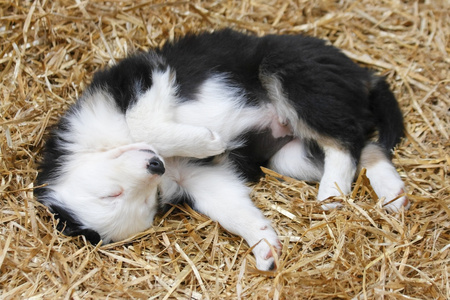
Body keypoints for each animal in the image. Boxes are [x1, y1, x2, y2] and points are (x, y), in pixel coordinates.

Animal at [35, 29, 408, 270]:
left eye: (109, 194)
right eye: (146, 201)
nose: (156, 165)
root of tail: (363, 74)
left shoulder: (144, 75)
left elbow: (141, 122)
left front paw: (208, 140)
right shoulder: (197, 176)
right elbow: (233, 210)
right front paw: (264, 246)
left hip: (290, 73)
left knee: (347, 140)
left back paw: (332, 193)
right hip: (288, 157)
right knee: (365, 146)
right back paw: (391, 194)